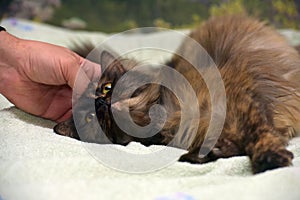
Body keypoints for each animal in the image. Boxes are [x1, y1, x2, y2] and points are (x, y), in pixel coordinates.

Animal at [54, 14, 300, 173]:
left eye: (107, 87)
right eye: (89, 118)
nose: (103, 103)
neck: (169, 117)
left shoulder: (245, 100)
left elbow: (262, 135)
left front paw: (270, 158)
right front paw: (210, 152)